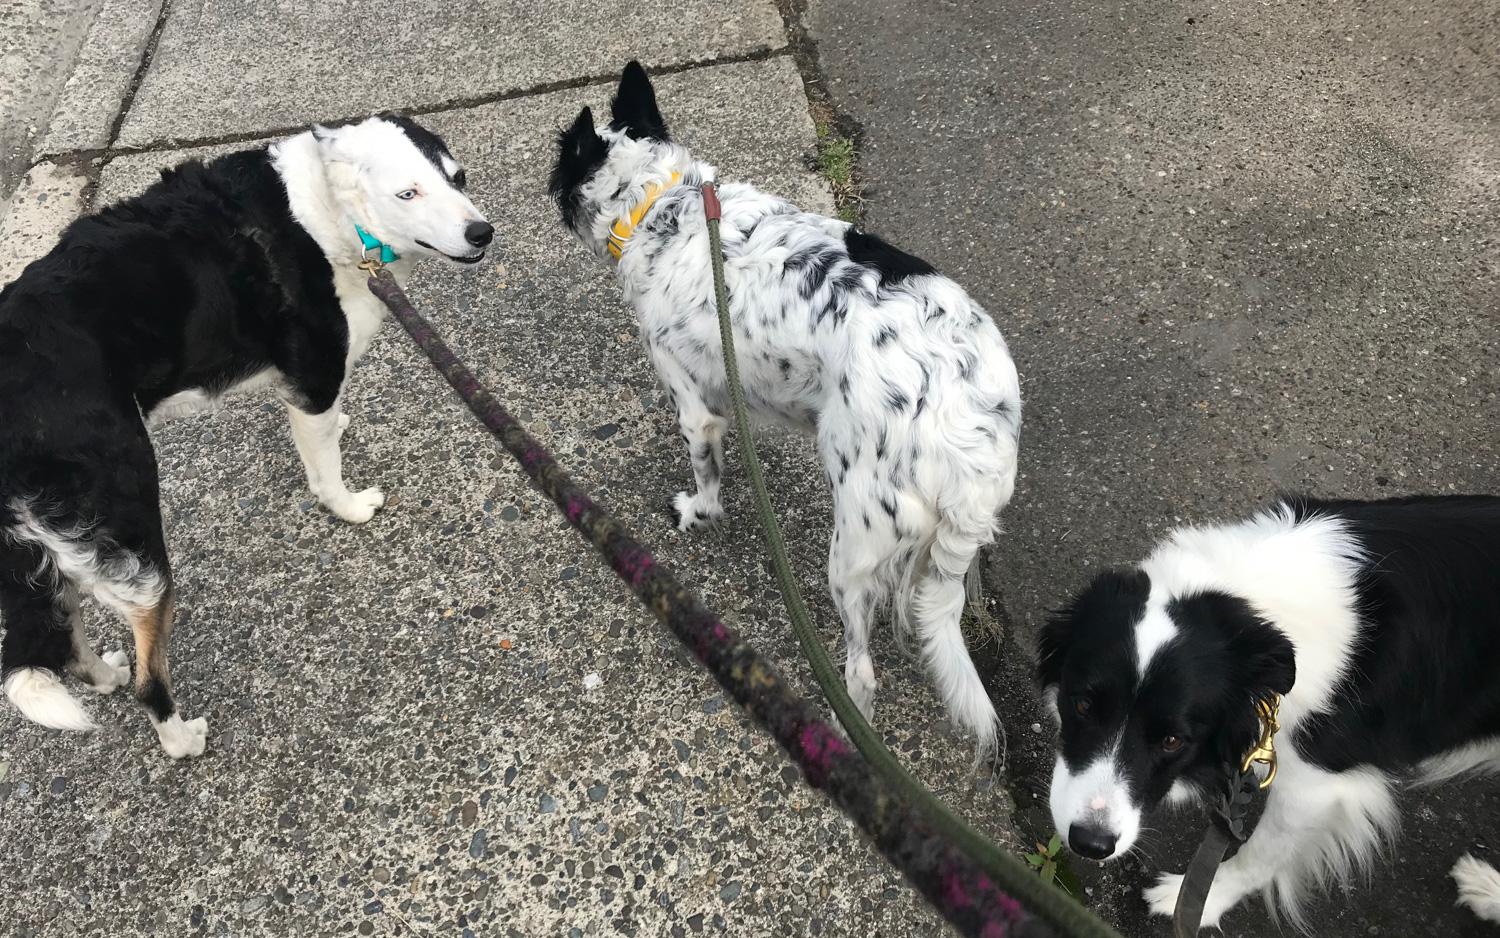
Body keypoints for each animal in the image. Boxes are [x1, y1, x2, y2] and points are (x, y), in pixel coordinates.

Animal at [0, 113, 492, 756]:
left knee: (68, 645)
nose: (482, 232)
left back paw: (106, 675)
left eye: (457, 178)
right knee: (149, 677)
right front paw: (350, 507)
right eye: (407, 193)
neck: (328, 207)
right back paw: (181, 739)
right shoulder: (315, 374)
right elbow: (325, 472)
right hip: (132, 532)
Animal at [558, 64, 1026, 753]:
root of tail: (969, 432)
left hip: (851, 548)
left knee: (859, 675)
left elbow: (707, 479)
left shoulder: (694, 404)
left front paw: (697, 512)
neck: (660, 204)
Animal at [1038, 495, 1500, 924]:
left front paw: (1197, 901)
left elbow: (1260, 853)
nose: (1090, 843)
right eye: (1082, 705)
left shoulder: (1318, 787)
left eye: (1172, 740)